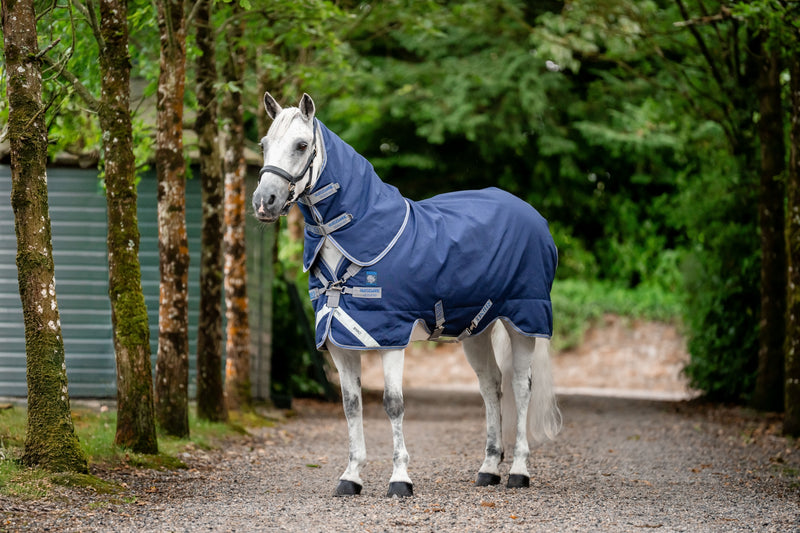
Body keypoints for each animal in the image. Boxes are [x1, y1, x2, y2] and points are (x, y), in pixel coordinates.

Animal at [252, 93, 561, 498]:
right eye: (264, 144)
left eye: (302, 145)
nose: (264, 201)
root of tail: (533, 216)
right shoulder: (338, 341)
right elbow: (351, 406)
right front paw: (350, 477)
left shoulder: (389, 338)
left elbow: (393, 404)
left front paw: (400, 479)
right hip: (476, 330)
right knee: (490, 387)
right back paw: (489, 469)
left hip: (523, 321)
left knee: (521, 388)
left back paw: (518, 472)